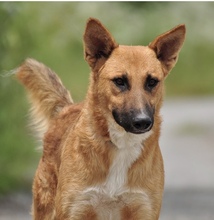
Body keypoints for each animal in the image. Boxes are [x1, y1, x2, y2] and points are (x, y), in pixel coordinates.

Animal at [16, 18, 186, 220]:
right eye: (120, 81)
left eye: (152, 82)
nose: (143, 121)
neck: (122, 145)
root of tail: (65, 108)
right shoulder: (76, 209)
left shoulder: (143, 209)